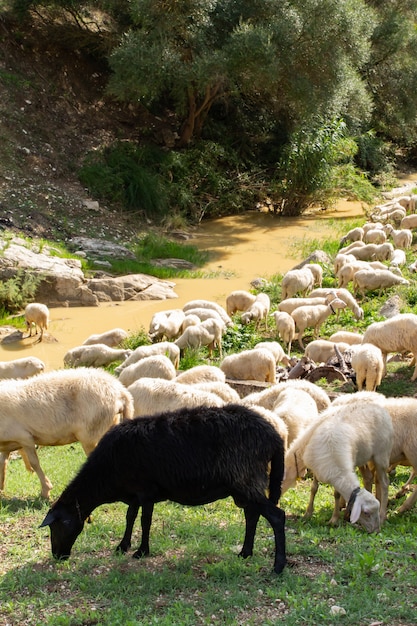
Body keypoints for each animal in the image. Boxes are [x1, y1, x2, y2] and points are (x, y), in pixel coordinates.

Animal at [0, 366, 133, 498]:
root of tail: (120, 391)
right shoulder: (8, 443)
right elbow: (3, 463)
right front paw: (1, 489)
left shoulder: (24, 437)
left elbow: (34, 463)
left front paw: (45, 491)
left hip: (91, 433)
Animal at [39, 402, 286, 572]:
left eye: (57, 527)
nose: (57, 556)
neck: (105, 476)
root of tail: (274, 437)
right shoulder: (134, 494)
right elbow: (130, 517)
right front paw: (123, 545)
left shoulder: (146, 491)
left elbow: (145, 521)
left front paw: (141, 551)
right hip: (245, 484)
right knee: (252, 515)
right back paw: (245, 553)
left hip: (246, 478)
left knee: (276, 516)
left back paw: (278, 566)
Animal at [280, 398, 394, 528]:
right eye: (366, 513)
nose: (376, 530)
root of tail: (381, 409)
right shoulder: (317, 467)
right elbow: (314, 489)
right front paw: (308, 513)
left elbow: (336, 494)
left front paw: (334, 519)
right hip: (364, 456)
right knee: (368, 477)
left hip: (381, 456)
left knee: (385, 483)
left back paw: (383, 515)